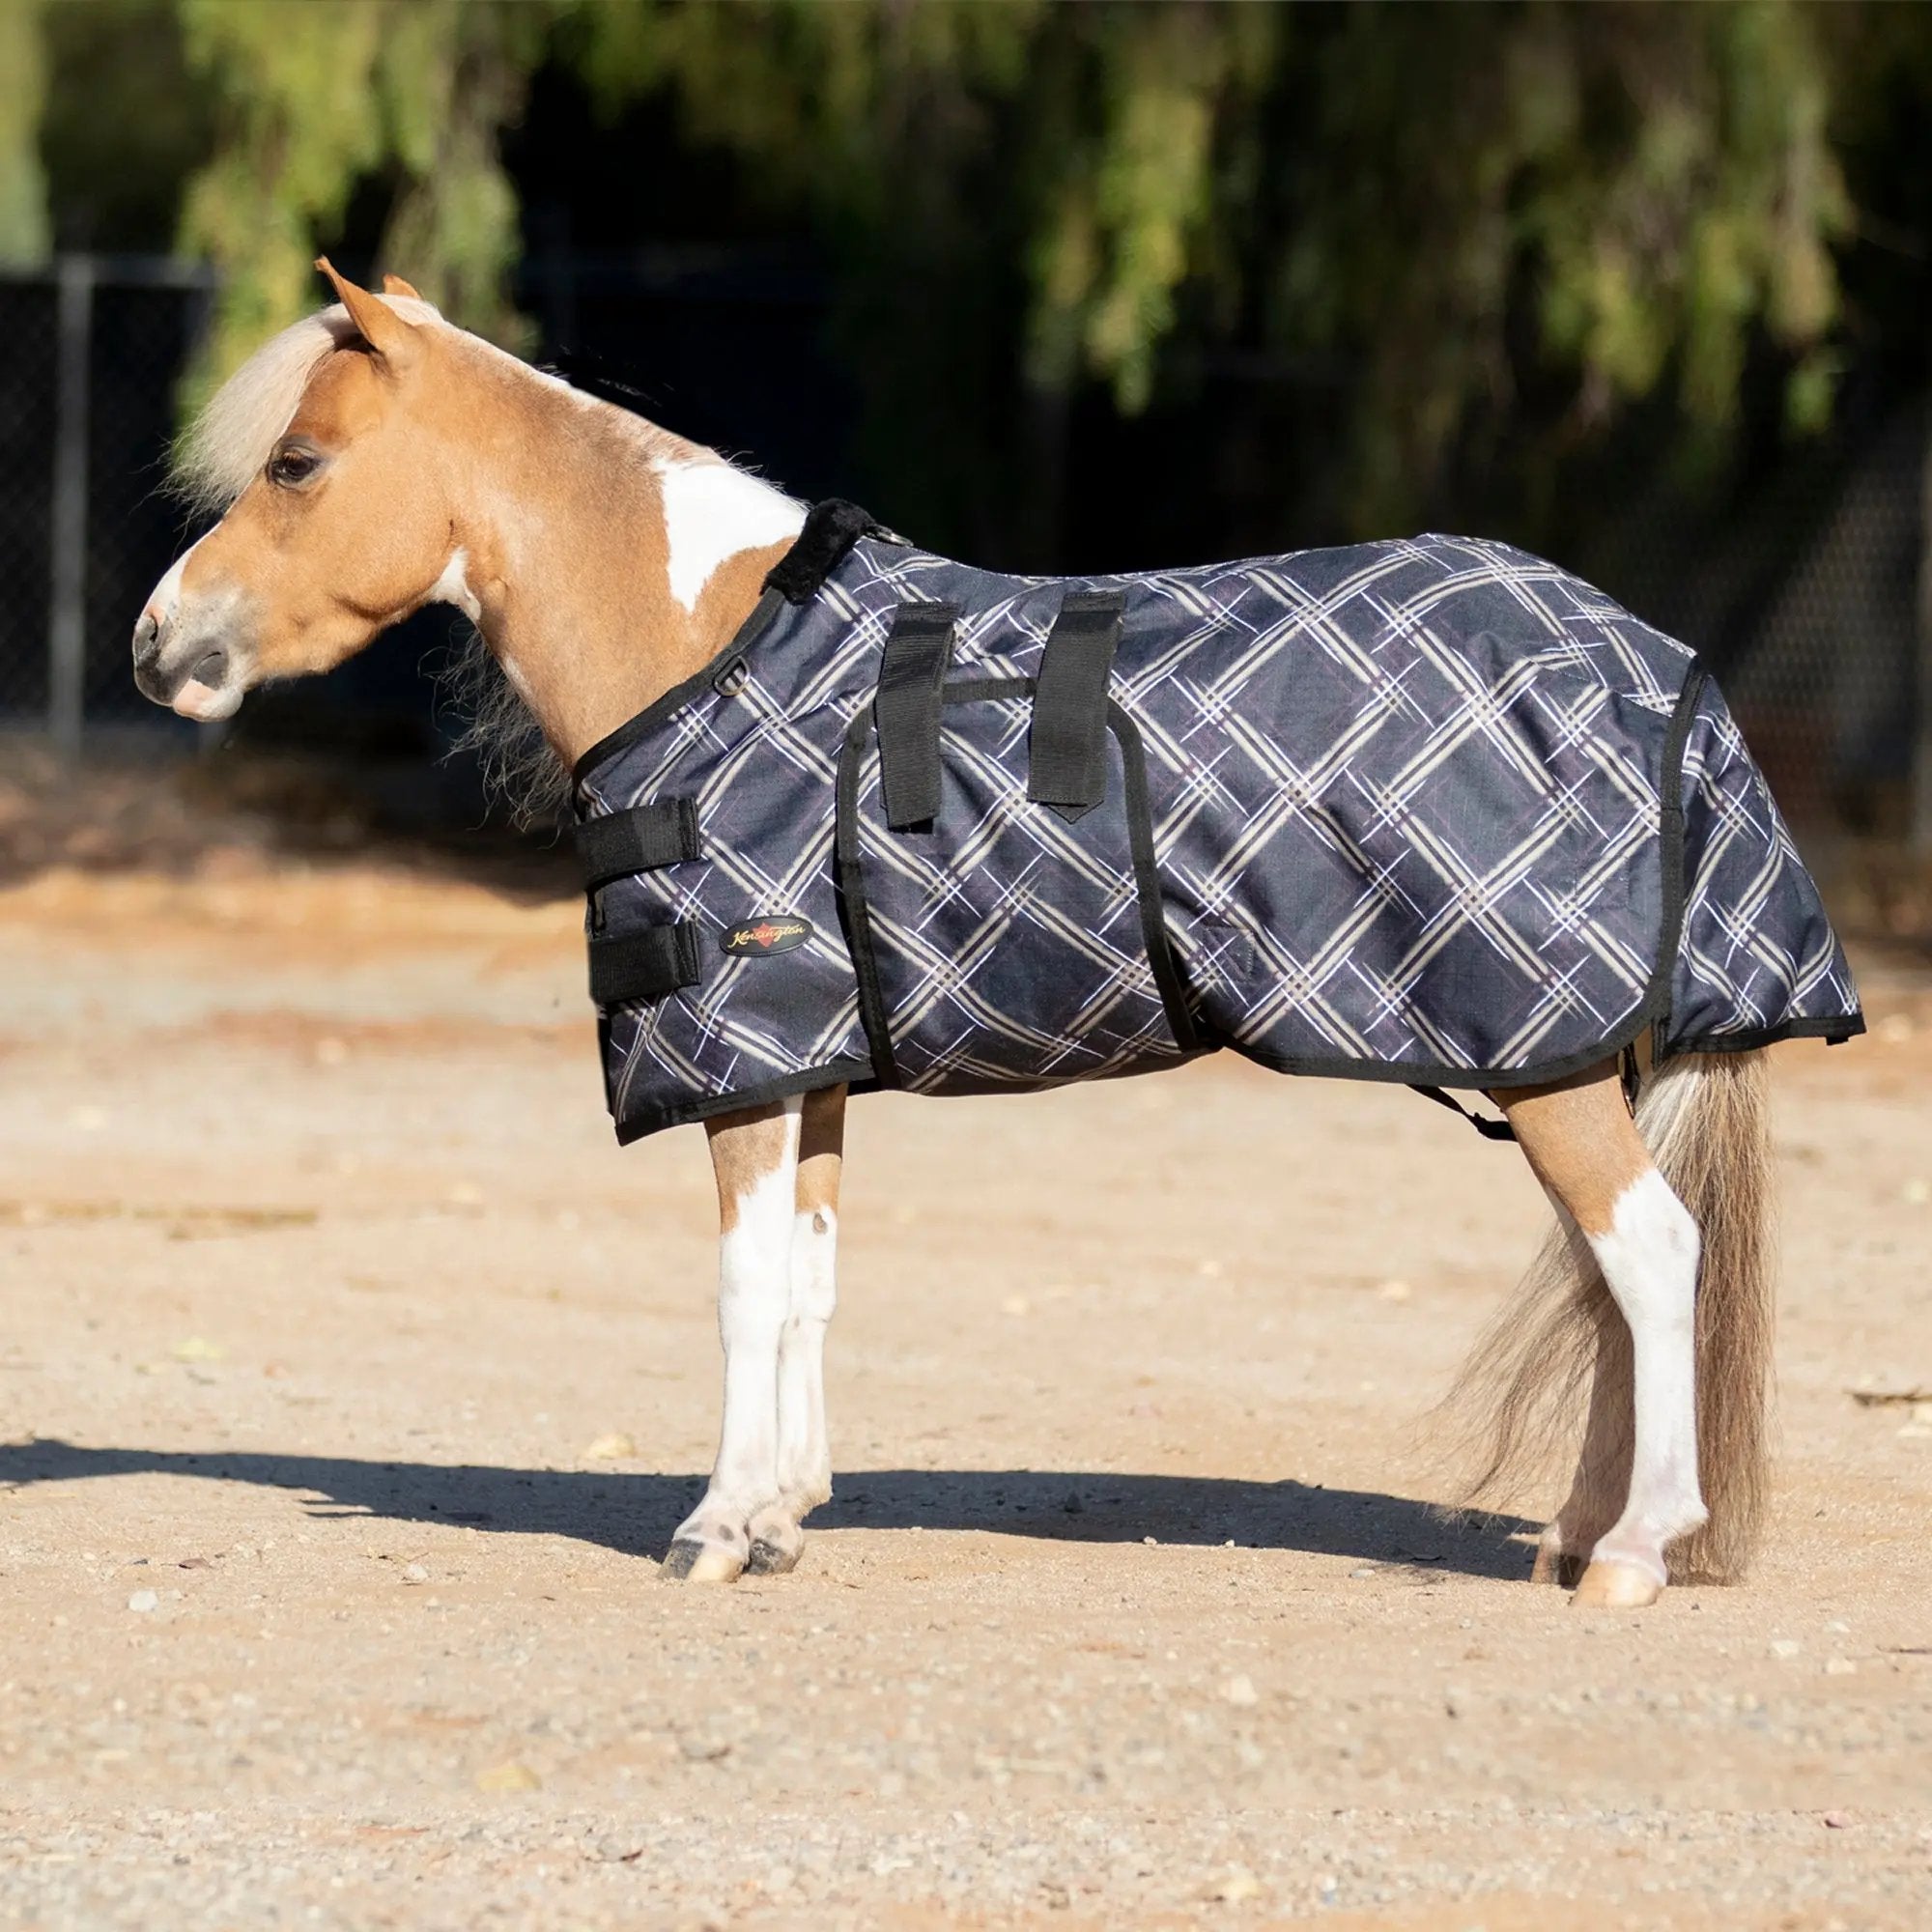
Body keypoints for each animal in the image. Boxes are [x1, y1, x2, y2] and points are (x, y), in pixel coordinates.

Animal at [131, 260, 1859, 1609]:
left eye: (297, 463)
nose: (158, 643)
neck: (712, 647)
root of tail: (1658, 669)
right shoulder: (812, 1067)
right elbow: (811, 1278)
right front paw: (781, 1517)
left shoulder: (745, 1061)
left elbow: (745, 1284)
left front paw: (714, 1525)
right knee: (1613, 1279)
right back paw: (1578, 1533)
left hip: (1543, 1056)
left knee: (1651, 1254)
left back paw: (1633, 1550)